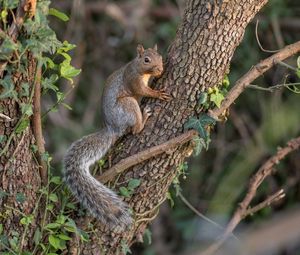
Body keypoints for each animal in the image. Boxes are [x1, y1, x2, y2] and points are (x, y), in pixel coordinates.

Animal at [63, 44, 171, 230]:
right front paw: (157, 93)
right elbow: (143, 91)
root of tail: (112, 128)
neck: (138, 68)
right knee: (136, 130)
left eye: (160, 56)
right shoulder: (132, 80)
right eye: (146, 59)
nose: (159, 69)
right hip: (128, 105)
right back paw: (144, 117)